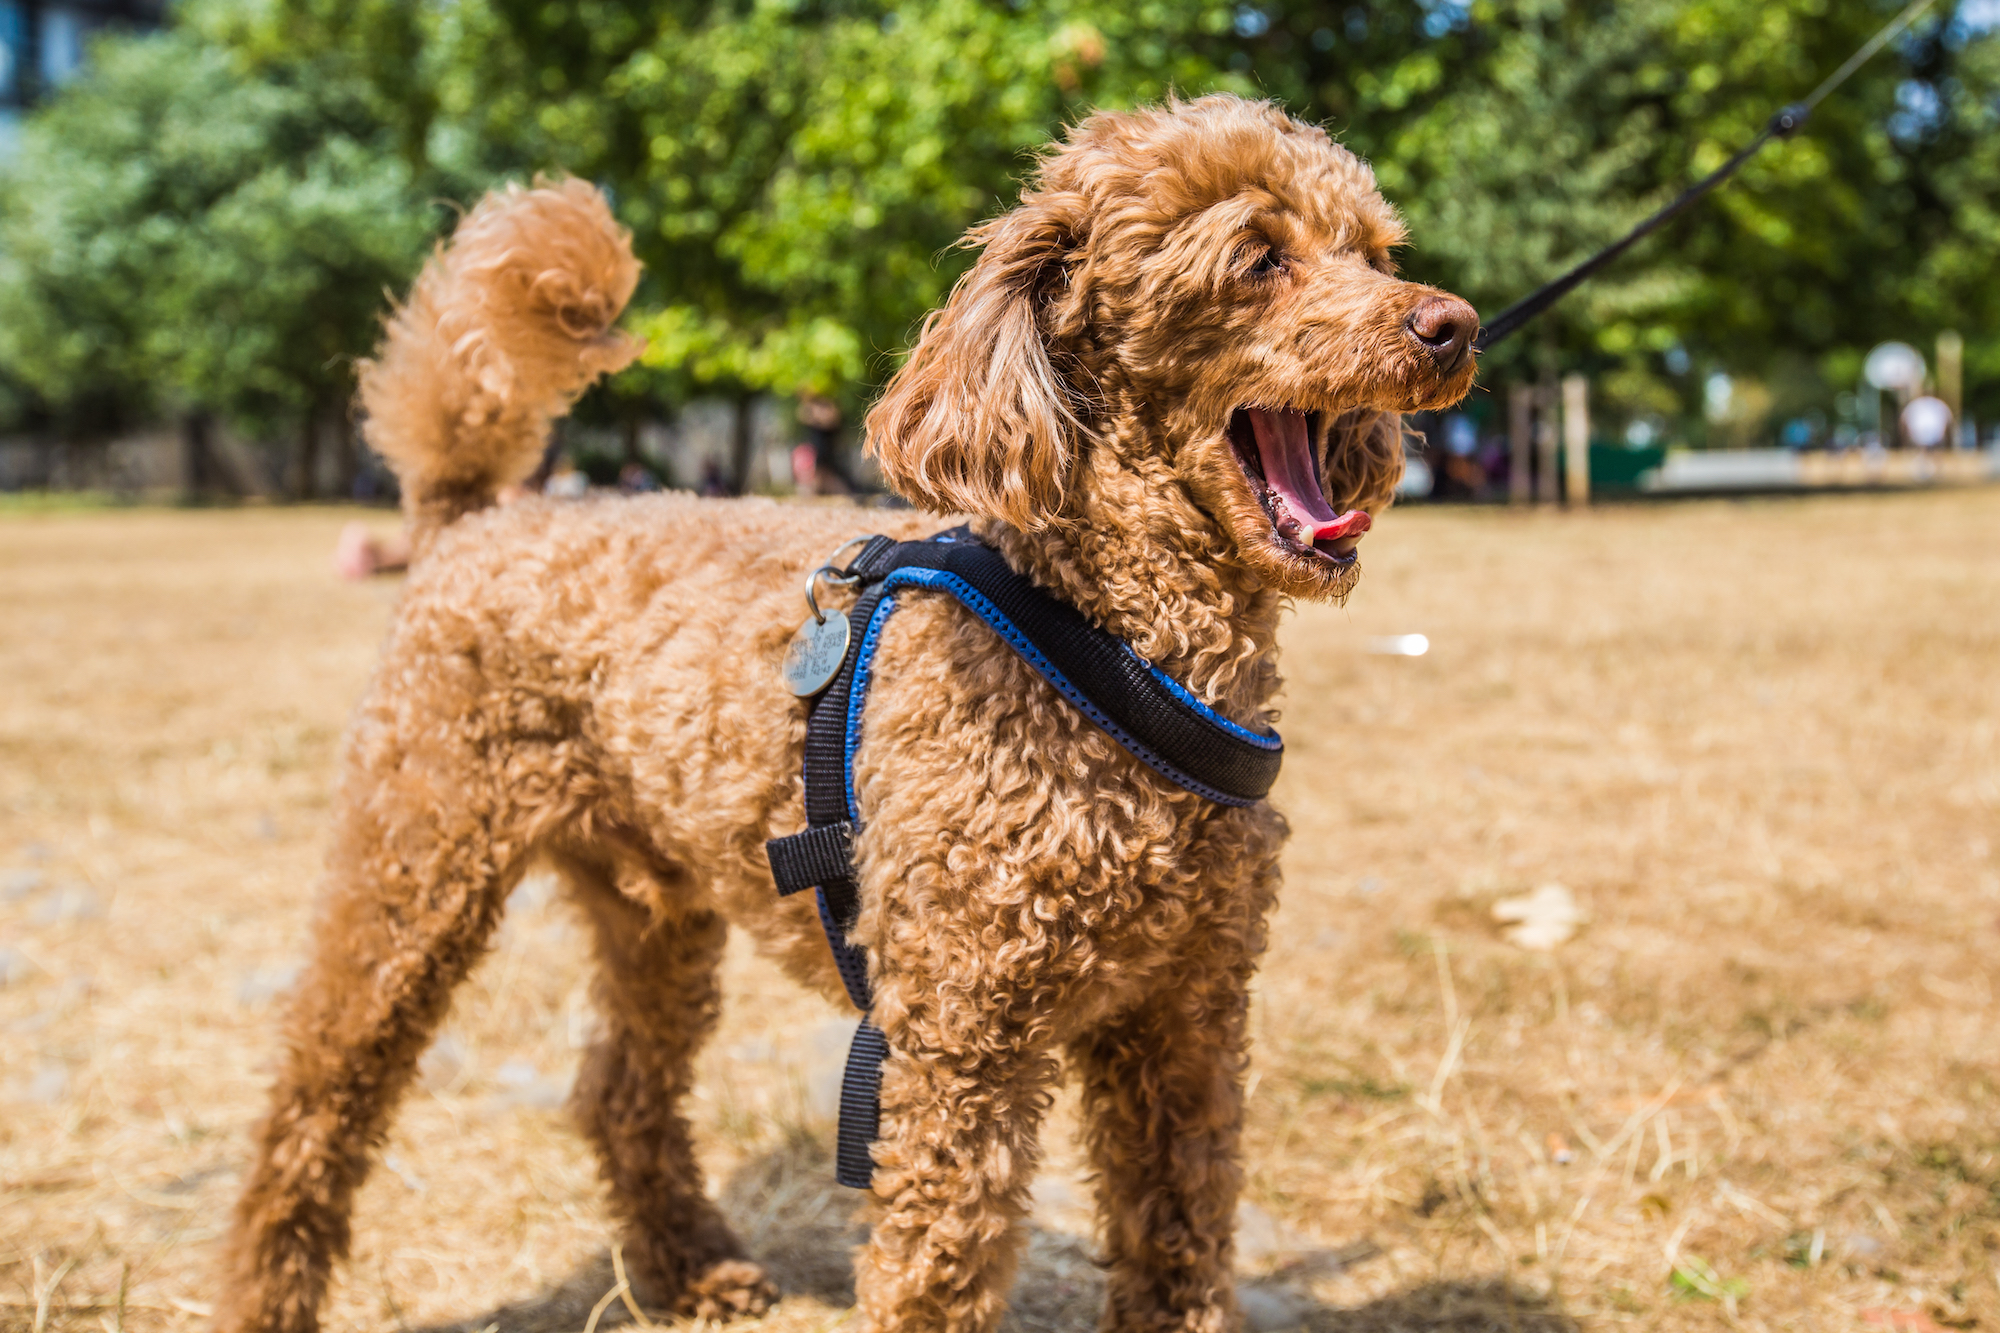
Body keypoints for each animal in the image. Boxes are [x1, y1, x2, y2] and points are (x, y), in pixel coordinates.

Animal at [219, 93, 1480, 1328]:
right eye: (1259, 258)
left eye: (1373, 253)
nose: (1453, 323)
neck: (1116, 654)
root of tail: (476, 516)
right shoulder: (959, 1042)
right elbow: (936, 1270)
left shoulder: (1186, 1023)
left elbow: (1180, 1248)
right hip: (415, 863)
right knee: (313, 1099)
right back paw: (267, 1289)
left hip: (651, 902)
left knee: (618, 1086)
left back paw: (690, 1268)